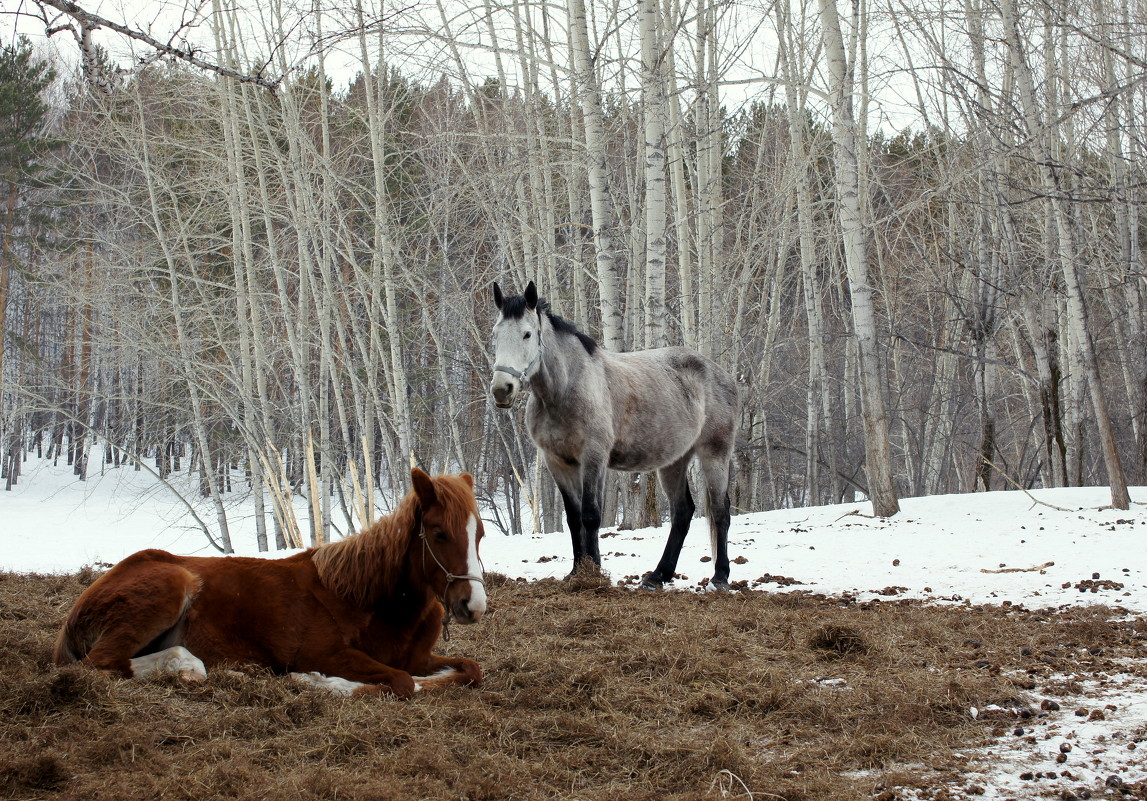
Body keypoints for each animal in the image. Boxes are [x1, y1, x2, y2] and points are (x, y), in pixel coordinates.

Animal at [54, 465, 484, 697]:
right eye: (438, 533)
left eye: (479, 533)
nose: (473, 605)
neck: (366, 599)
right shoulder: (327, 654)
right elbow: (402, 682)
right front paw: (318, 682)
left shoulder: (419, 659)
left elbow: (469, 670)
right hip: (171, 588)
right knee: (100, 665)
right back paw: (188, 666)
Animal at [488, 281, 738, 587]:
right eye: (496, 335)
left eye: (527, 334)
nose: (502, 390)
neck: (566, 389)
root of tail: (720, 373)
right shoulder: (558, 462)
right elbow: (574, 518)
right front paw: (576, 572)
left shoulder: (593, 457)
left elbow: (591, 515)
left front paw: (593, 572)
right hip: (674, 461)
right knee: (682, 513)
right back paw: (658, 575)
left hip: (715, 453)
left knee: (720, 511)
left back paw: (720, 576)